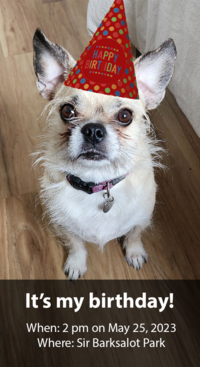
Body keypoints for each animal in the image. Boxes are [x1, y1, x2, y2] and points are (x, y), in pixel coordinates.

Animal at [32, 28, 176, 282]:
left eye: (125, 116)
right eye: (67, 111)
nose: (93, 130)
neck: (98, 181)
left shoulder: (142, 217)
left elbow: (135, 235)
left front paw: (134, 253)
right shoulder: (61, 225)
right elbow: (75, 244)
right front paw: (76, 264)